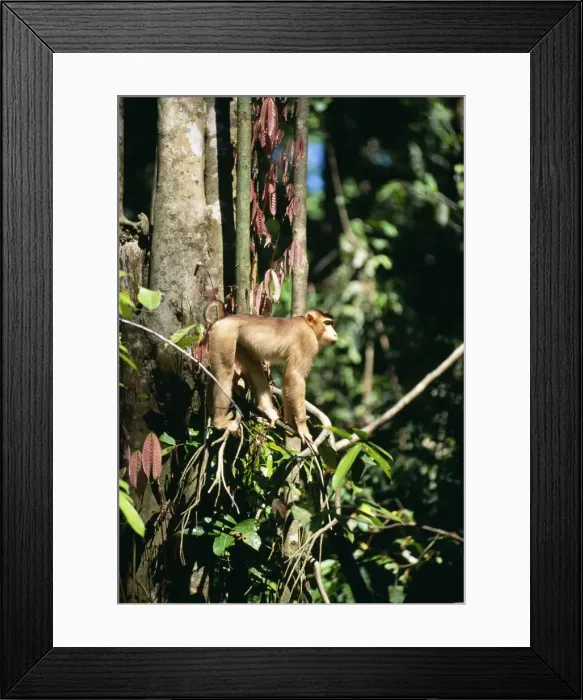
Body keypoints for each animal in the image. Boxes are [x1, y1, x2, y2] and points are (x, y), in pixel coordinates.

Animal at [209, 309, 337, 442]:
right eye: (327, 323)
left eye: (331, 323)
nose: (335, 334)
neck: (308, 324)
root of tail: (222, 320)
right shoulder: (307, 339)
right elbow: (295, 375)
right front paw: (302, 426)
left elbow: (287, 379)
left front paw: (289, 424)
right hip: (224, 334)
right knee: (225, 372)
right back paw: (219, 422)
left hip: (240, 342)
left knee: (254, 366)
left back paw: (267, 409)